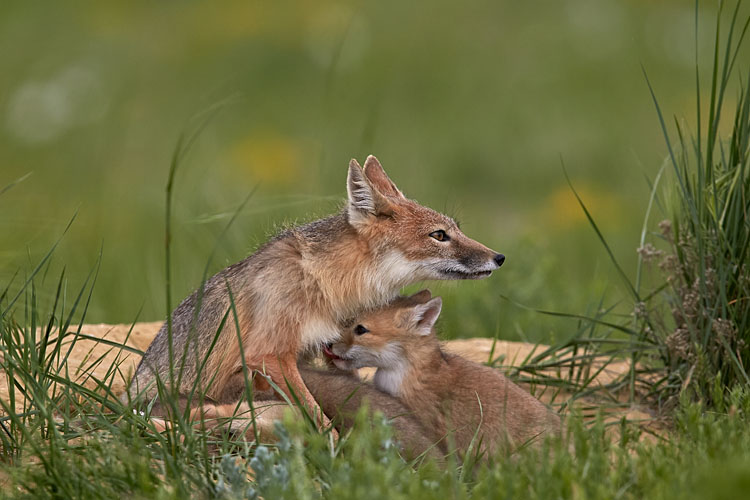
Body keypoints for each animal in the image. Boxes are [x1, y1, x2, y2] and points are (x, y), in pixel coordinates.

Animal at [127, 155, 505, 427]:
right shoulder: (270, 355)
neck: (321, 279)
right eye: (439, 235)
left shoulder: (313, 353)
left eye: (457, 230)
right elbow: (317, 416)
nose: (499, 257)